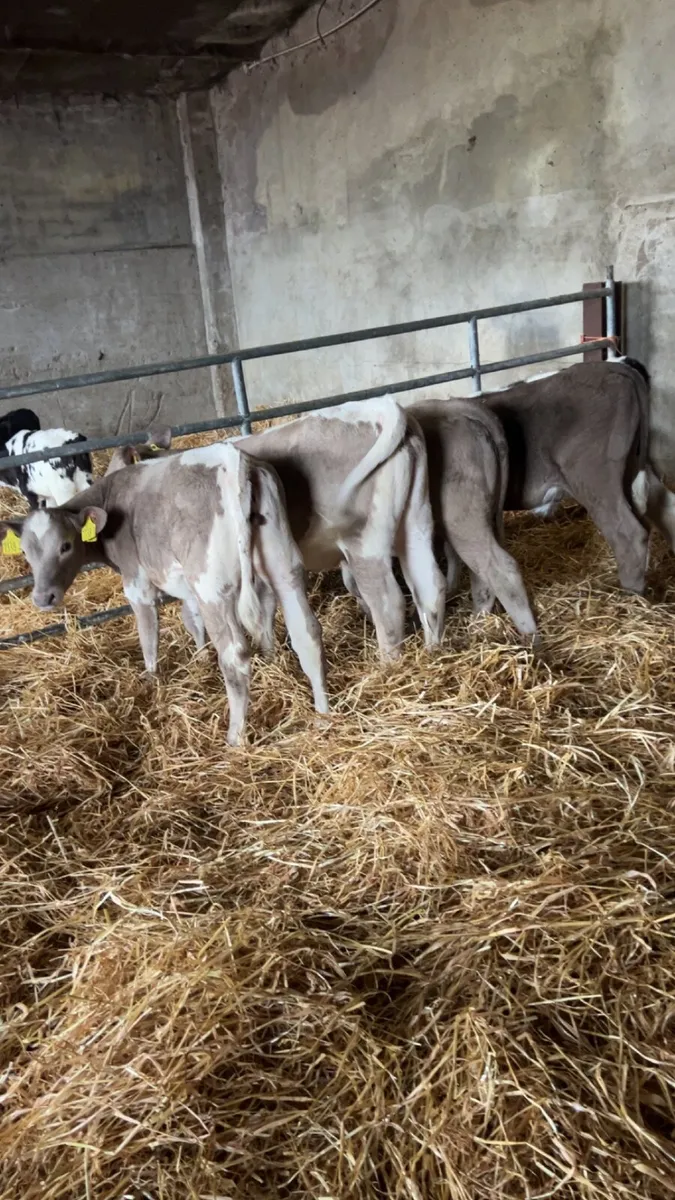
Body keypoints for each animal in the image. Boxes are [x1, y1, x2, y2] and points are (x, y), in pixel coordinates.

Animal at [0, 442, 329, 746]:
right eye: (26, 552)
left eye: (66, 545)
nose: (42, 598)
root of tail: (232, 457)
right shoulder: (188, 588)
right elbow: (191, 620)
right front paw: (200, 658)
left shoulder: (138, 583)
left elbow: (148, 635)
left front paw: (150, 679)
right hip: (283, 564)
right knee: (307, 632)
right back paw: (323, 713)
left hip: (212, 586)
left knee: (235, 657)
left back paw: (234, 738)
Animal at [232, 396, 447, 659]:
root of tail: (379, 407)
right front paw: (269, 656)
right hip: (417, 520)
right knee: (430, 585)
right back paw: (433, 651)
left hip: (364, 541)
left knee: (387, 601)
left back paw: (388, 663)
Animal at [481, 356, 675, 597]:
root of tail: (616, 365)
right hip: (635, 466)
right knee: (665, 509)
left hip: (594, 478)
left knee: (629, 534)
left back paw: (631, 595)